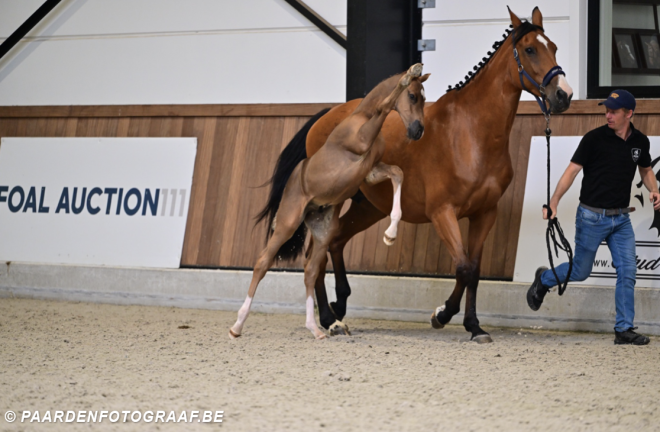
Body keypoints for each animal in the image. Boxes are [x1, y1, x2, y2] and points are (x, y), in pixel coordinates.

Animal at [229, 64, 429, 339]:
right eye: (412, 96)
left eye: (424, 98)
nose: (418, 130)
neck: (361, 117)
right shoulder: (362, 142)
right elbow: (385, 104)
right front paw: (410, 72)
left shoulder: (371, 171)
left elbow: (398, 173)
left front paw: (390, 234)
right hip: (287, 224)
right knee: (262, 263)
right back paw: (238, 324)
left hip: (323, 232)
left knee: (311, 270)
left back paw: (316, 327)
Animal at [301, 7, 574, 343]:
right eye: (530, 49)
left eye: (554, 48)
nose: (563, 94)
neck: (472, 133)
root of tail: (326, 115)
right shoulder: (442, 213)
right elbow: (463, 267)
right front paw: (442, 315)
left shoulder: (485, 213)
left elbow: (474, 270)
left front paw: (473, 325)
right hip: (333, 201)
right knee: (317, 253)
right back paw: (329, 320)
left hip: (370, 207)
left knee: (336, 242)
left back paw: (338, 307)